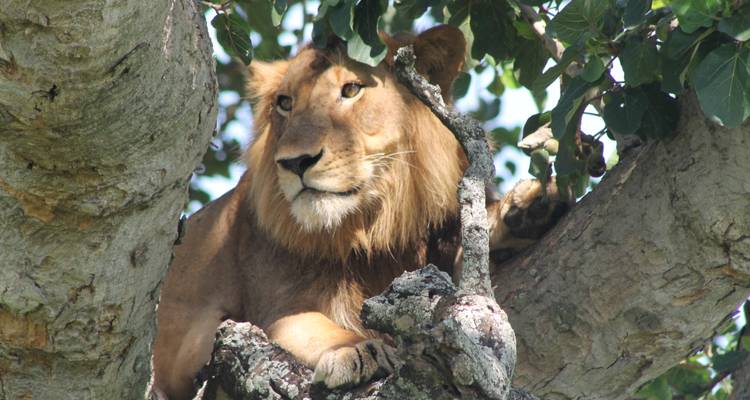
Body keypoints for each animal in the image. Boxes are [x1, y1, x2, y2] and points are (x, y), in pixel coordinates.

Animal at [151, 25, 568, 399]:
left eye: (351, 90)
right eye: (285, 102)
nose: (296, 163)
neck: (372, 228)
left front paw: (528, 208)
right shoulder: (268, 307)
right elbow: (306, 322)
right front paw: (354, 350)